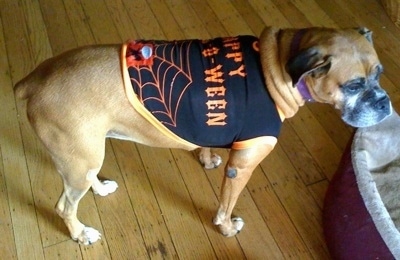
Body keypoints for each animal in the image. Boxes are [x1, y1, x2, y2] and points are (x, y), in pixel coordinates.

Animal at [13, 27, 390, 245]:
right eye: (353, 86)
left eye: (380, 74)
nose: (384, 102)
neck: (278, 64)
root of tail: (33, 80)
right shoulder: (242, 167)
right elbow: (225, 206)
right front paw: (226, 230)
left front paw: (206, 158)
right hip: (79, 160)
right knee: (64, 206)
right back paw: (80, 234)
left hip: (88, 156)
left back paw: (101, 189)